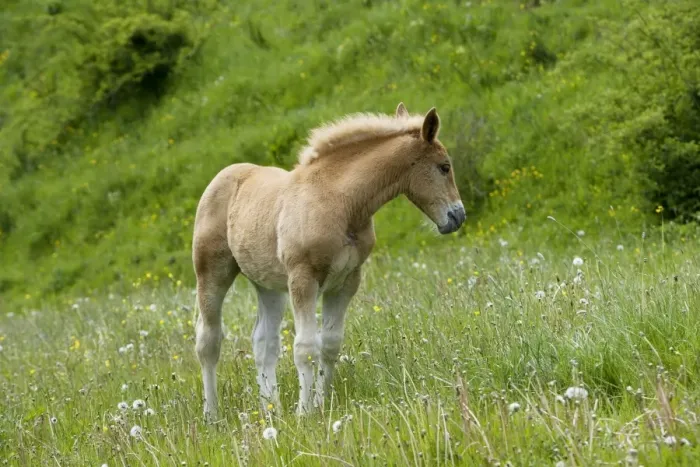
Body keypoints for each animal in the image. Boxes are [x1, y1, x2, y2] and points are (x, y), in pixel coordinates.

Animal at [192, 102, 465, 419]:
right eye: (444, 167)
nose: (458, 216)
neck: (340, 201)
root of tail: (223, 176)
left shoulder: (346, 282)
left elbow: (330, 345)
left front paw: (321, 405)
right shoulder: (303, 278)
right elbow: (305, 347)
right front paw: (304, 413)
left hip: (268, 286)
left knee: (264, 343)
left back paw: (272, 410)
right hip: (212, 273)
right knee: (208, 340)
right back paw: (212, 414)